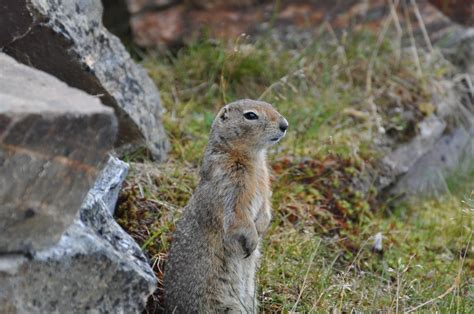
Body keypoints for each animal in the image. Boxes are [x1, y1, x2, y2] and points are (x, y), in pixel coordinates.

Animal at [163, 99, 288, 312]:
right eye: (251, 115)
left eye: (271, 105)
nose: (284, 125)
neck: (252, 158)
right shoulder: (229, 186)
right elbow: (237, 216)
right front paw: (253, 240)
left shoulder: (264, 184)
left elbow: (265, 207)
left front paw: (262, 227)